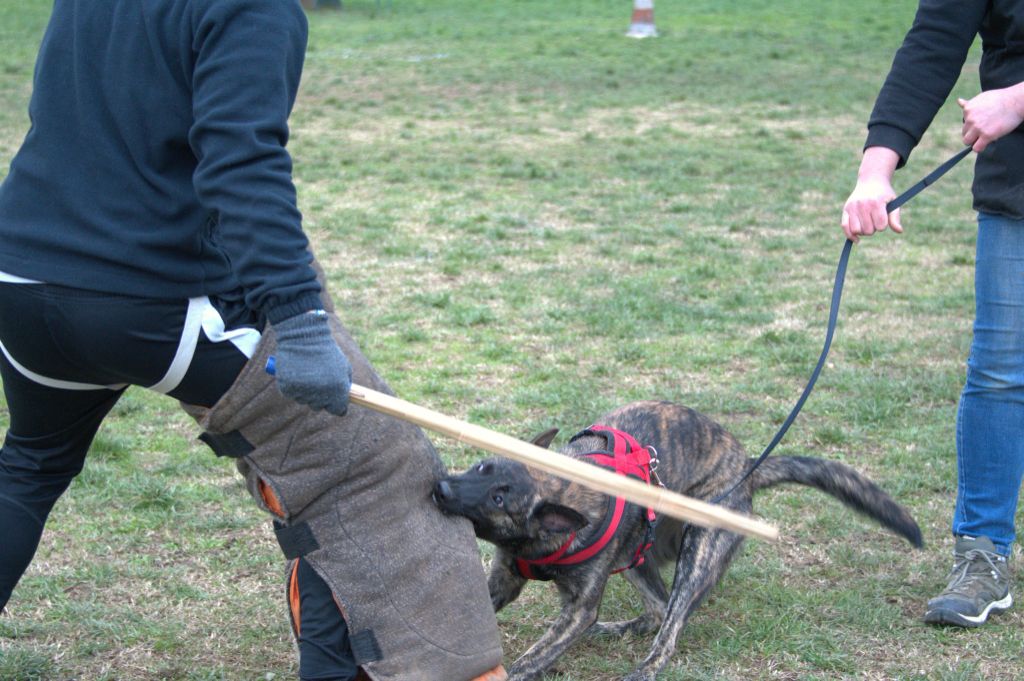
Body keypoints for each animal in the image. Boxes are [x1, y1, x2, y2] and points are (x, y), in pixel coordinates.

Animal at [430, 399, 921, 679]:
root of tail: (748, 469)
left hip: (696, 555)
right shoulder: (504, 581)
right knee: (658, 608)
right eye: (482, 467)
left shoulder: (579, 608)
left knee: (671, 624)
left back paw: (646, 668)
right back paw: (617, 629)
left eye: (497, 498)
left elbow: (535, 657)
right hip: (637, 556)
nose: (442, 488)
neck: (563, 487)